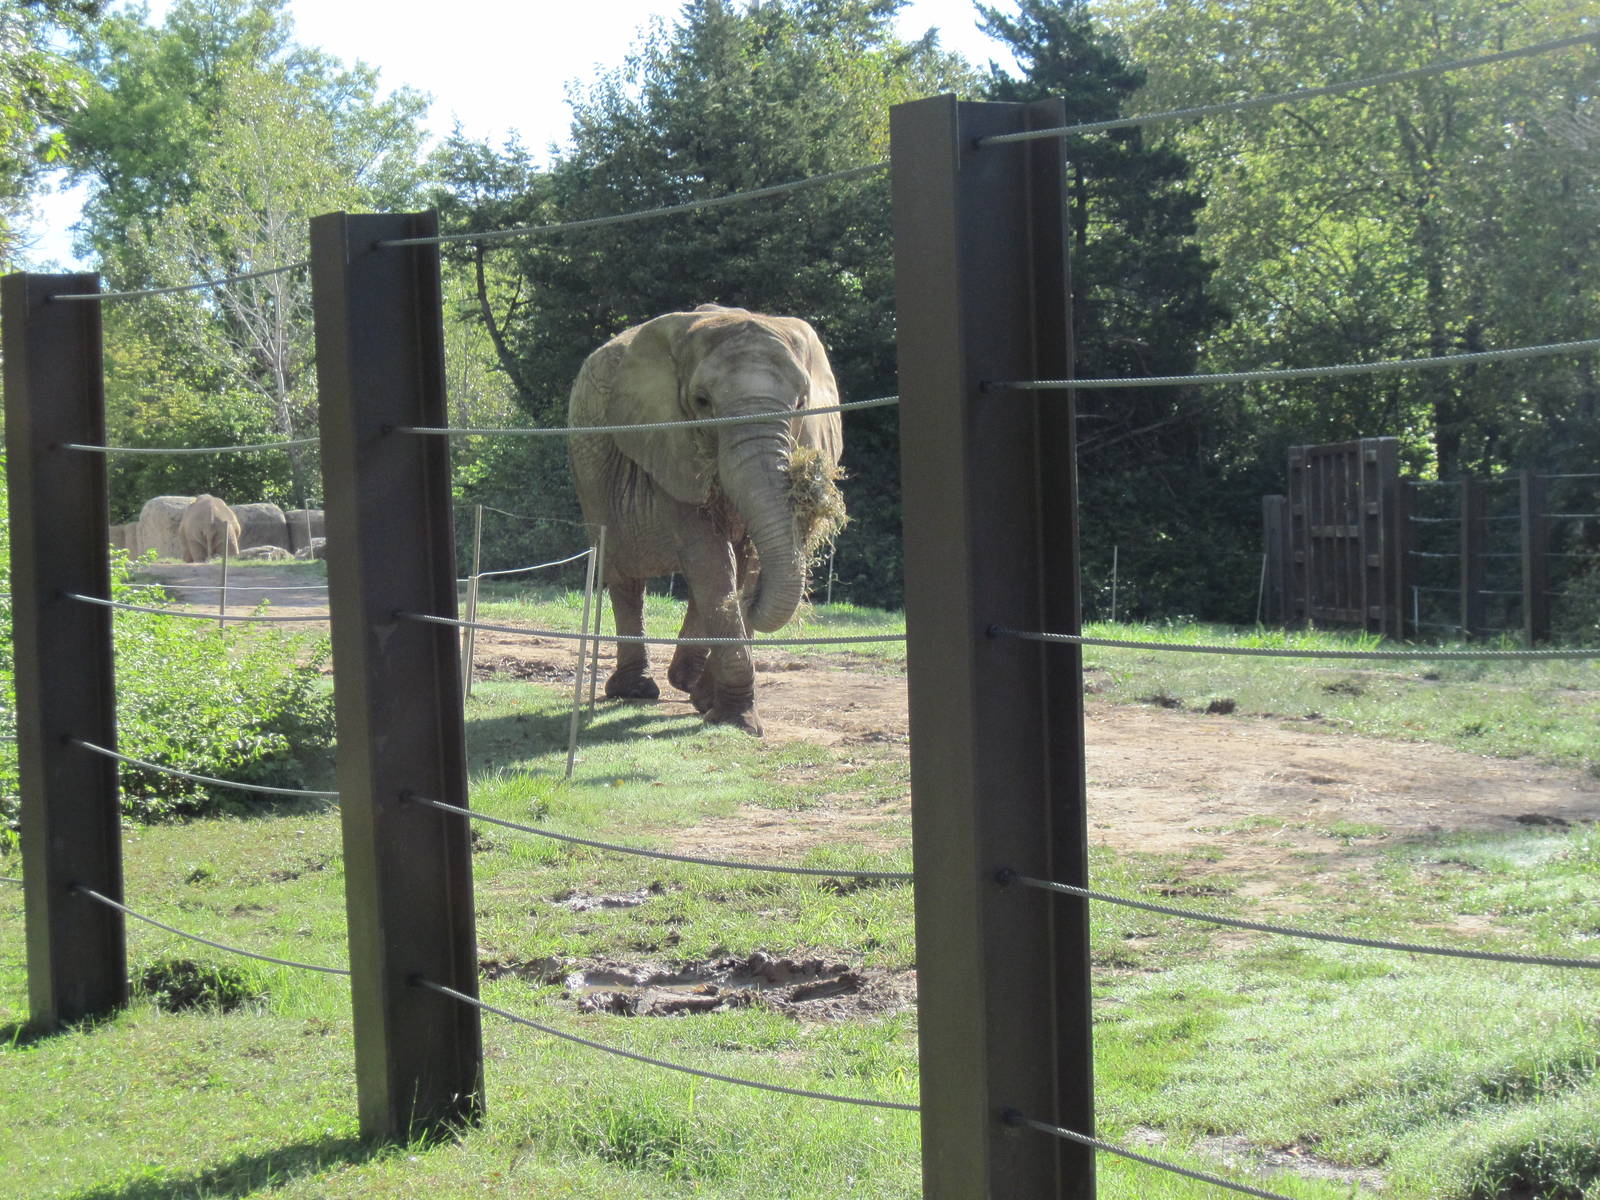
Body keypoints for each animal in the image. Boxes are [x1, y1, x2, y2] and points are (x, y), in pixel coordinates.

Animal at [568, 305, 846, 735]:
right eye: (702, 401)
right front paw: (737, 721)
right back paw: (637, 691)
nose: (752, 602)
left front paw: (711, 702)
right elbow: (710, 559)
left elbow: (740, 563)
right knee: (627, 578)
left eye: (801, 403)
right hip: (592, 481)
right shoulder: (667, 443)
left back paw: (686, 684)